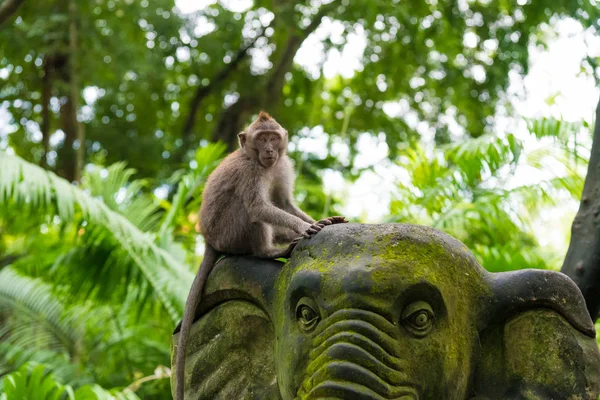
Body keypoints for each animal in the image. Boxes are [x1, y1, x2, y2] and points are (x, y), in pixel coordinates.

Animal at [172, 110, 346, 400]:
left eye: (273, 138)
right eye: (262, 138)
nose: (269, 150)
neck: (261, 163)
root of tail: (209, 240)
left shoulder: (282, 167)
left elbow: (284, 203)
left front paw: (323, 221)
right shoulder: (249, 173)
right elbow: (259, 207)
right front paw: (305, 227)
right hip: (230, 233)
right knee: (249, 212)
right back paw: (270, 251)